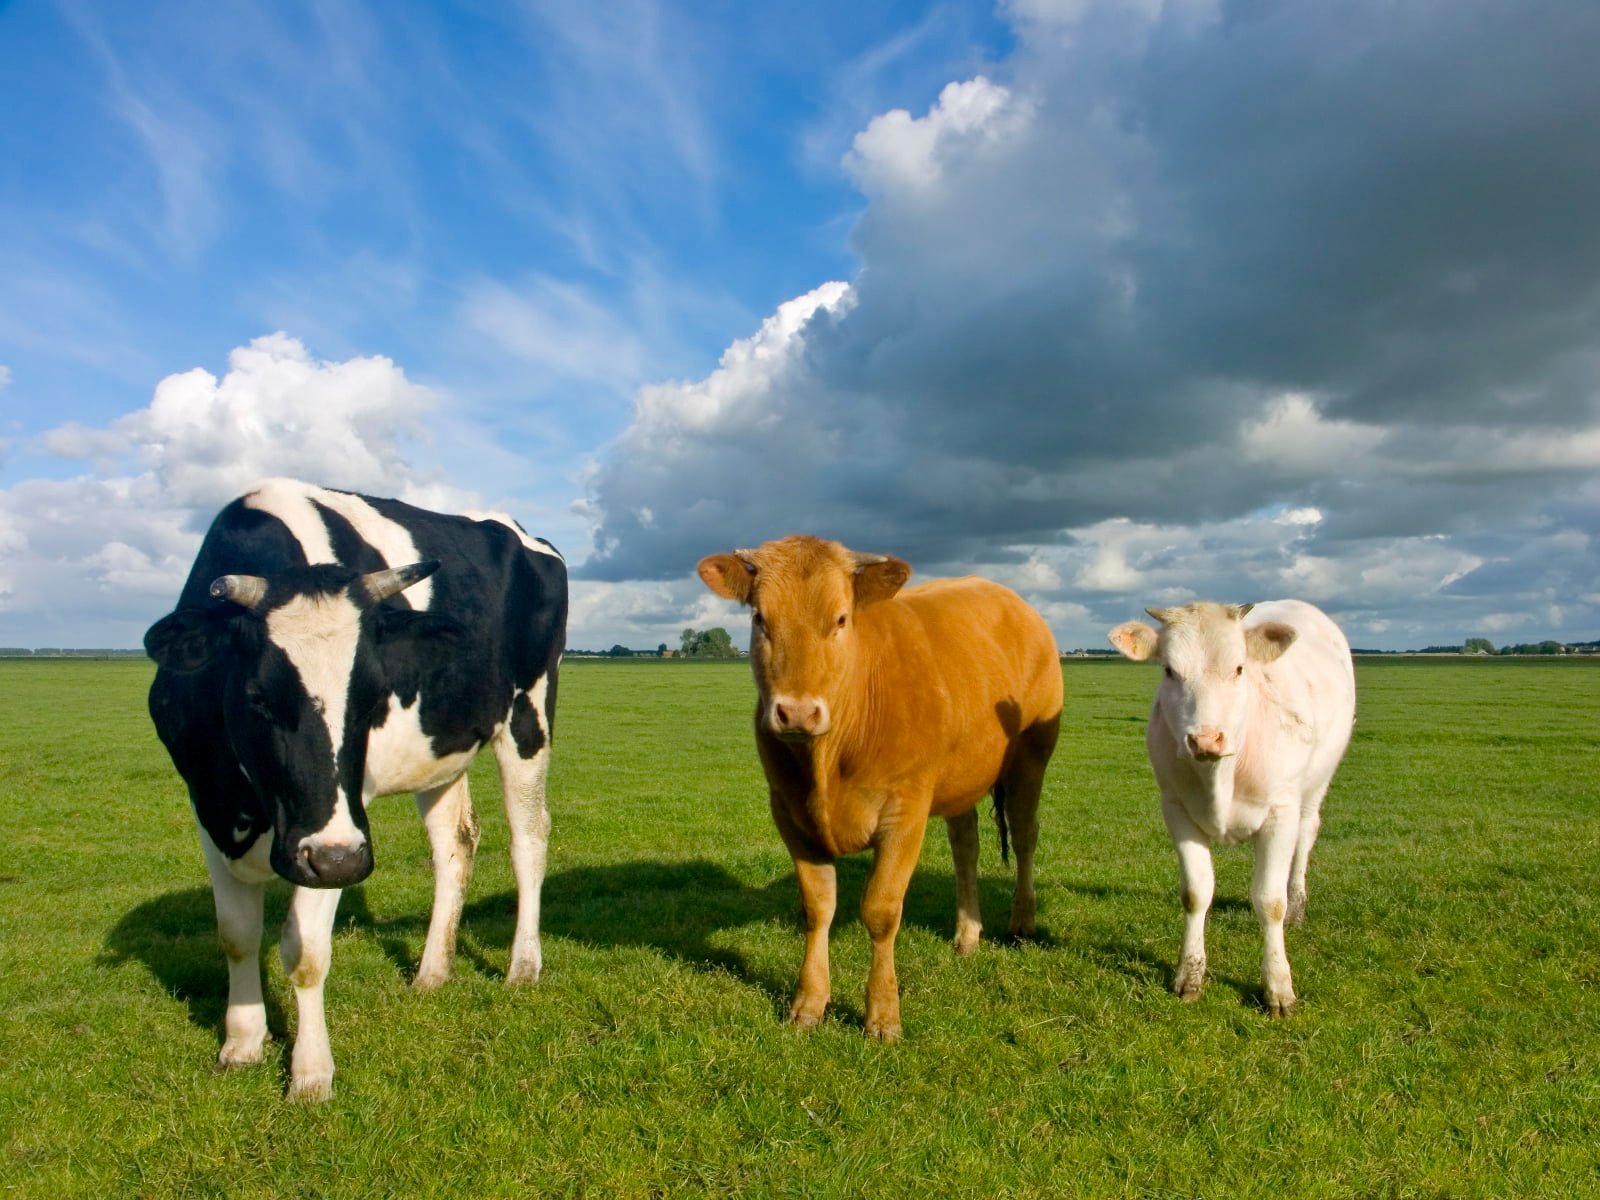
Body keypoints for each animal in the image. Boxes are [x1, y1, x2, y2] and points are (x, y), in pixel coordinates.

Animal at [144, 478, 566, 1099]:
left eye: (372, 700)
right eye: (257, 698)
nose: (340, 863)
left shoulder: (339, 829)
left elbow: (305, 950)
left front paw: (310, 1073)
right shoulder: (207, 803)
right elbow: (236, 933)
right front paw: (241, 1043)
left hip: (528, 714)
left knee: (529, 839)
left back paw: (522, 967)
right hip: (440, 748)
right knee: (455, 843)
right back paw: (432, 972)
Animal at [697, 535, 1062, 1041]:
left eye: (840, 619)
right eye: (760, 620)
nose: (797, 712)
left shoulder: (904, 813)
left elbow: (881, 911)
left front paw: (883, 1016)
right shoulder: (788, 812)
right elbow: (818, 908)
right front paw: (809, 1004)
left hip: (1031, 756)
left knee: (1025, 835)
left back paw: (1022, 922)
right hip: (959, 777)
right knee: (965, 847)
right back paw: (967, 934)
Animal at [1108, 600, 1355, 1015]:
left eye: (1239, 668)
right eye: (1169, 670)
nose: (1206, 739)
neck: (1219, 778)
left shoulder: (1280, 811)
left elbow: (1270, 901)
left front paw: (1278, 988)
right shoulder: (1176, 808)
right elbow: (1195, 893)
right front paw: (1189, 976)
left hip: (1317, 782)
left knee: (1306, 836)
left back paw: (1298, 905)